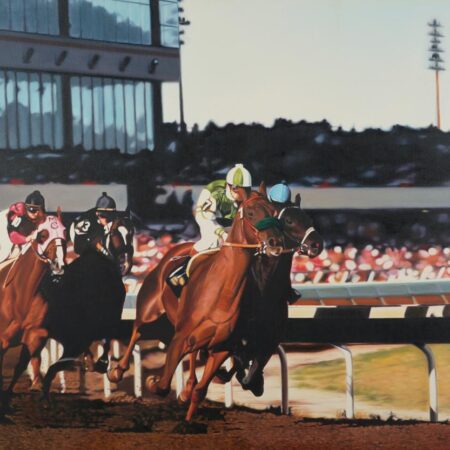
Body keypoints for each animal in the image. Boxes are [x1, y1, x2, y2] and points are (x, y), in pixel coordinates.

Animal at [0, 214, 66, 412]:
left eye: (64, 232)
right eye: (43, 235)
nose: (59, 264)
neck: (23, 292)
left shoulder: (35, 333)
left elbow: (23, 365)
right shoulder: (3, 339)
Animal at [40, 216, 134, 400]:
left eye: (131, 233)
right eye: (117, 233)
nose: (127, 261)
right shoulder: (109, 317)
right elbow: (106, 339)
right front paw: (102, 364)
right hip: (74, 340)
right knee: (54, 369)